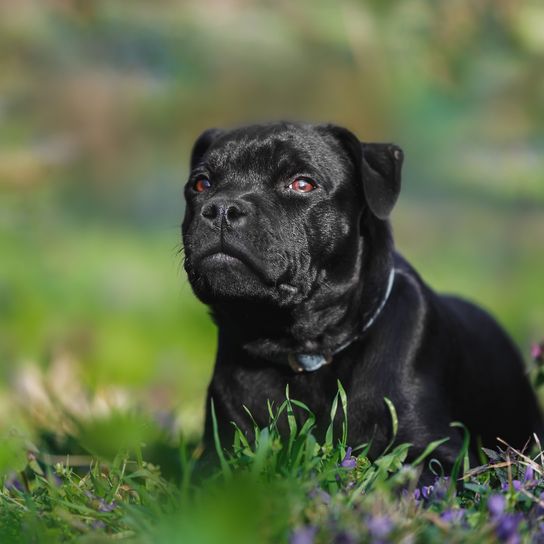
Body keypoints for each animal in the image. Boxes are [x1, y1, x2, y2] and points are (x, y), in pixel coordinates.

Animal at [182, 121, 540, 474]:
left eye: (302, 183)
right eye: (201, 184)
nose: (222, 208)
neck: (300, 349)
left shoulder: (438, 452)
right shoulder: (220, 448)